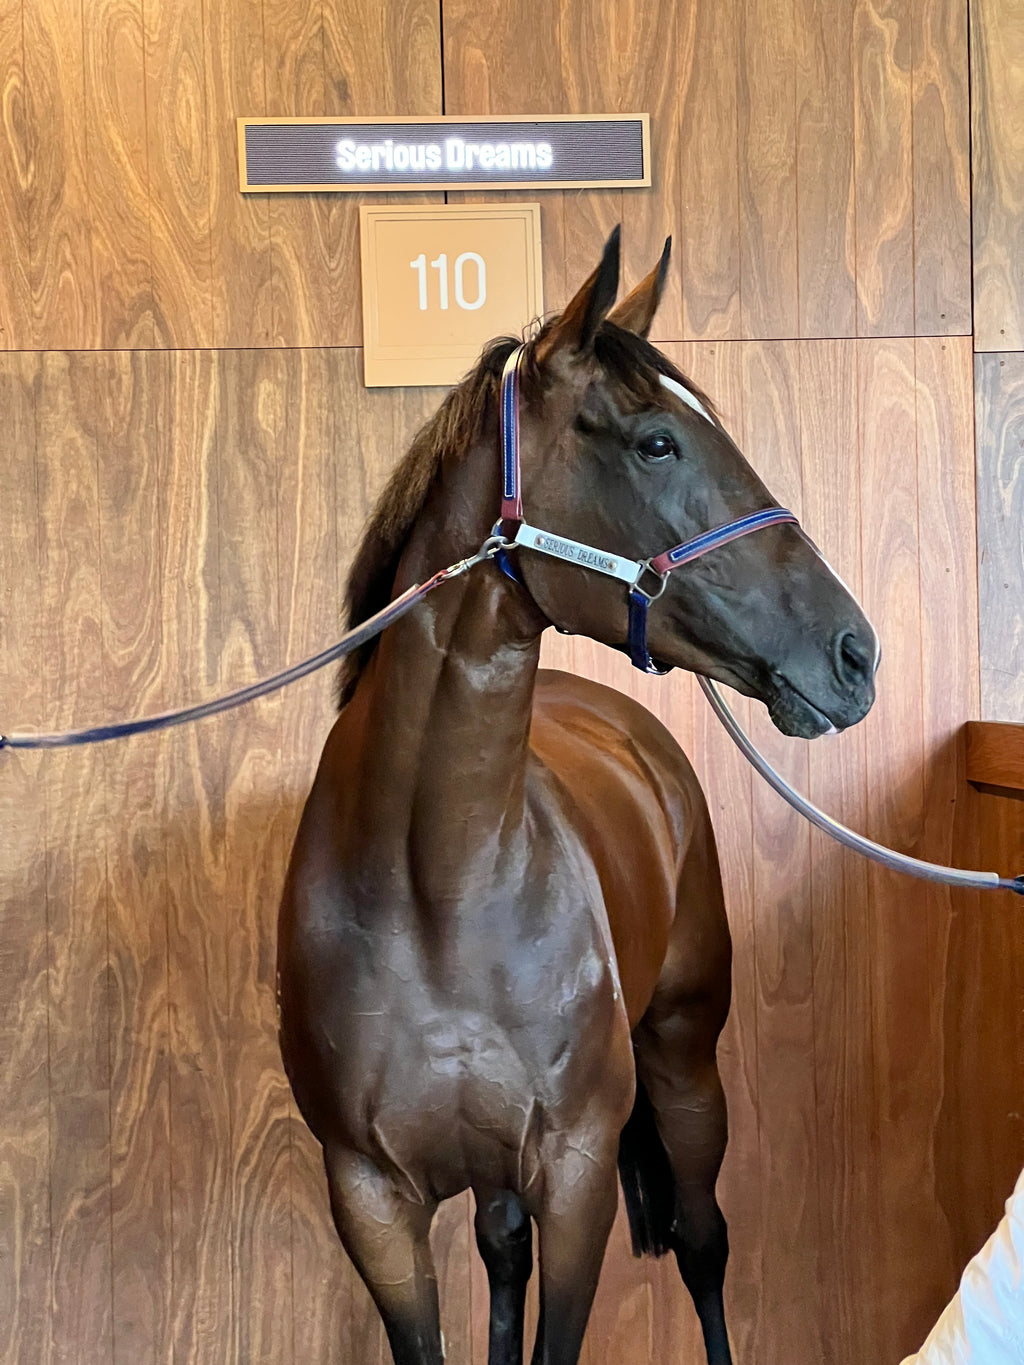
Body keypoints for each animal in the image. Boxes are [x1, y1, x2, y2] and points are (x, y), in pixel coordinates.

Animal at [277, 227, 878, 1365]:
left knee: (703, 1243)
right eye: (657, 442)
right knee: (504, 1258)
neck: (438, 888)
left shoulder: (579, 1177)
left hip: (685, 1067)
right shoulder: (371, 1203)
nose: (856, 653)